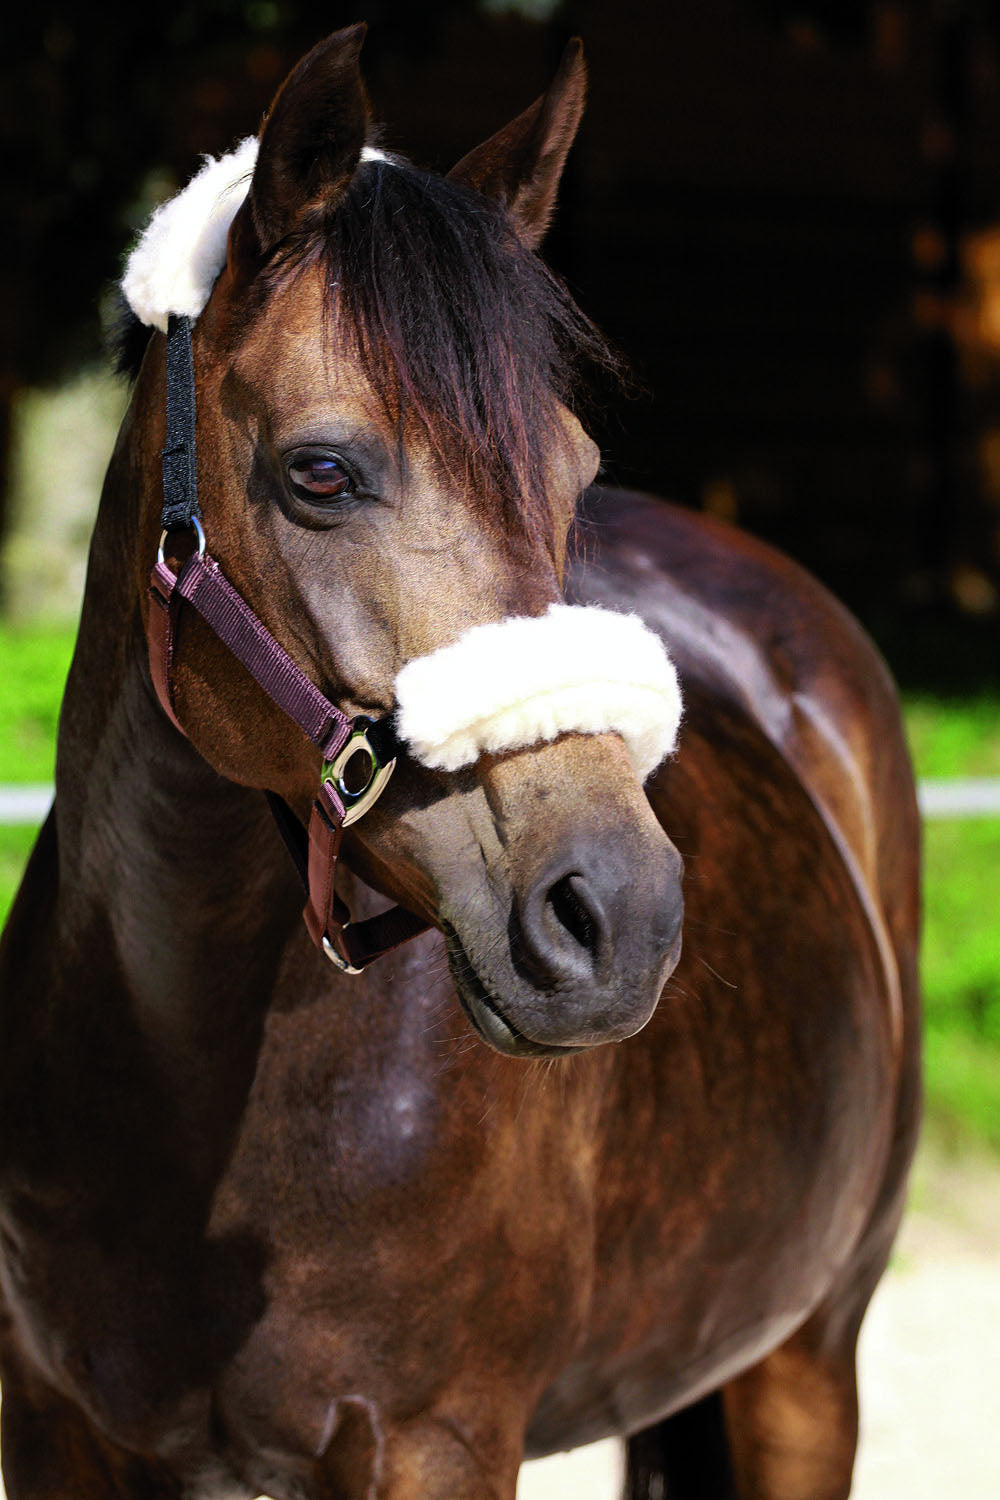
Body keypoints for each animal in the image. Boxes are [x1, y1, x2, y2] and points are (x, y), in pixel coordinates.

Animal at [0, 26, 923, 1500]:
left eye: (576, 470)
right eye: (322, 472)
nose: (620, 919)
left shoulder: (438, 1442)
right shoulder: (54, 1426)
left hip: (804, 1366)